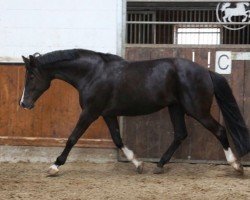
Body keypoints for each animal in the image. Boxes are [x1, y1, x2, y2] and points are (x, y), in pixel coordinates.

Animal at [20, 49, 250, 175]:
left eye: (31, 76)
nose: (24, 103)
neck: (92, 74)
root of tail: (206, 71)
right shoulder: (107, 114)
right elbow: (117, 139)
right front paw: (138, 163)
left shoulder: (90, 112)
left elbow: (72, 138)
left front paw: (55, 166)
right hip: (175, 108)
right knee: (180, 134)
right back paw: (159, 165)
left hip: (197, 110)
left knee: (219, 130)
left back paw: (236, 166)